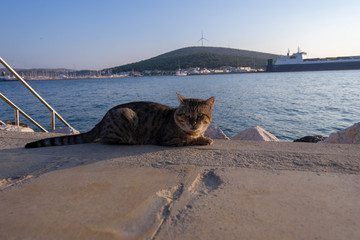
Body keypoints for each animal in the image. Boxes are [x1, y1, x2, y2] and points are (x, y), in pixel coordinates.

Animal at [26, 94, 217, 148]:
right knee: (106, 139)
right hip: (126, 115)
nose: (193, 123)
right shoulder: (168, 140)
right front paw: (203, 139)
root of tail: (103, 118)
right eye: (186, 115)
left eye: (200, 115)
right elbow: (188, 140)